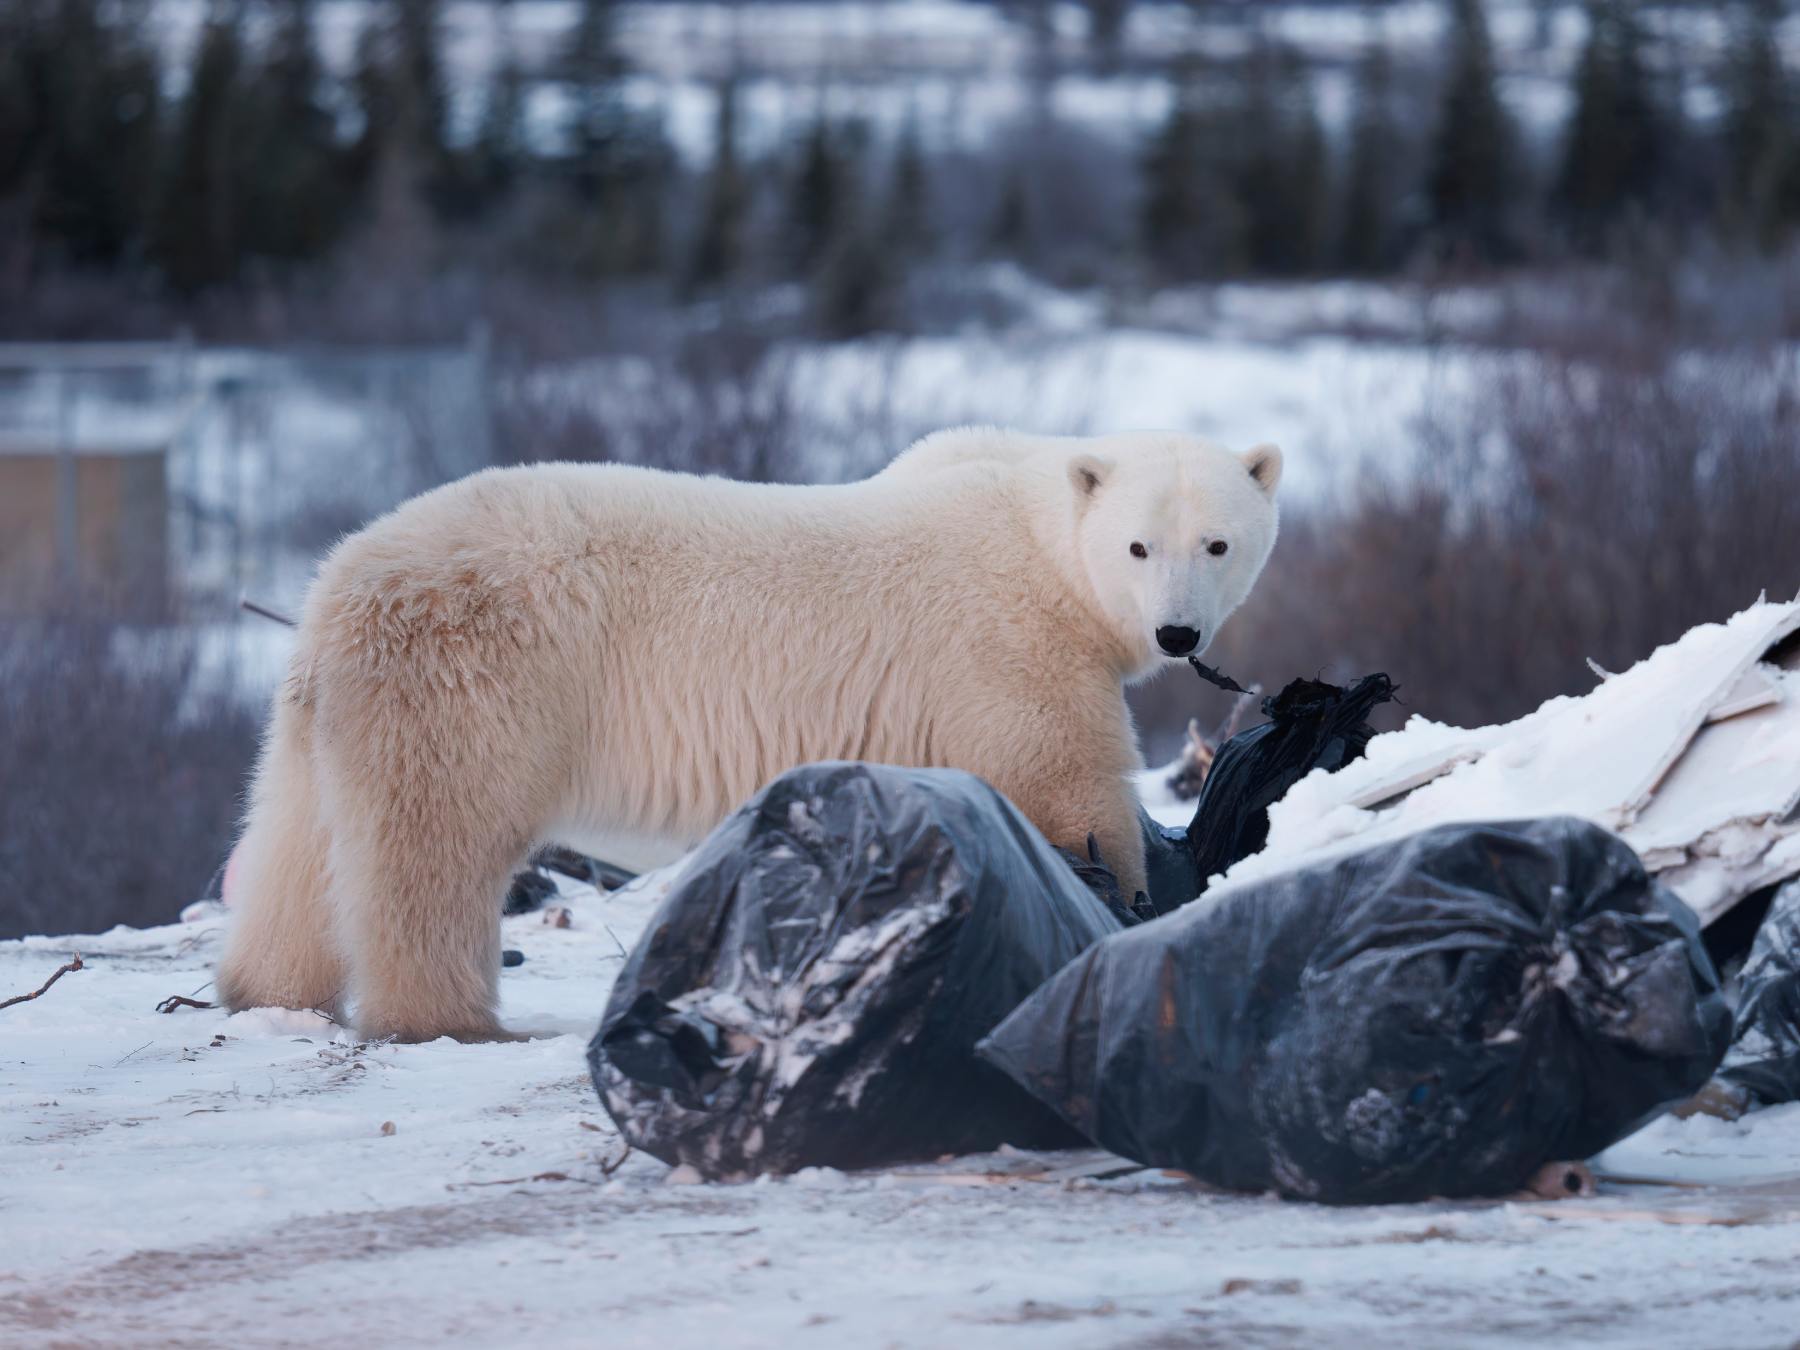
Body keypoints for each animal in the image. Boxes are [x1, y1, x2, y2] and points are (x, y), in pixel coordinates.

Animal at [215, 427, 1282, 1042]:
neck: (1035, 532)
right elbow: (1068, 788)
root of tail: (343, 585)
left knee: (292, 847)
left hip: (332, 707)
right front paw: (1122, 903)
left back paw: (265, 989)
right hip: (475, 673)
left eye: (1218, 543)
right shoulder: (1012, 649)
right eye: (1138, 545)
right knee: (433, 846)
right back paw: (447, 1016)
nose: (1177, 632)